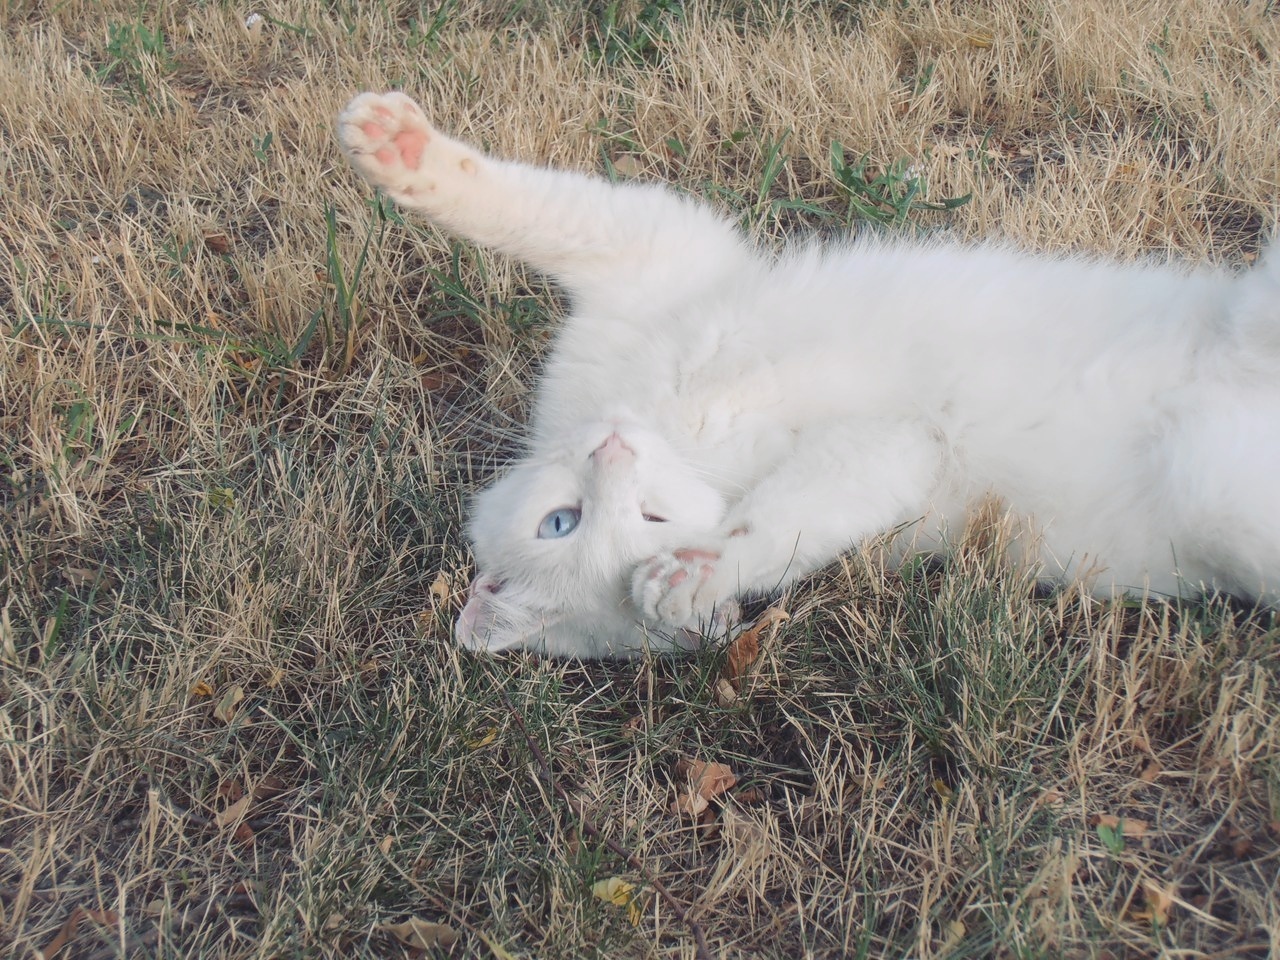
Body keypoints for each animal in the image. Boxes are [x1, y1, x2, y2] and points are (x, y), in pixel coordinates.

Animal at [335, 92, 1274, 660]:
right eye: (567, 524)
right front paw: (700, 575)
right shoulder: (900, 456)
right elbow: (784, 521)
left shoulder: (650, 250)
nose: (611, 451)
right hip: (1229, 515)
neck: (677, 420)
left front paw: (402, 149)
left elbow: (530, 207)